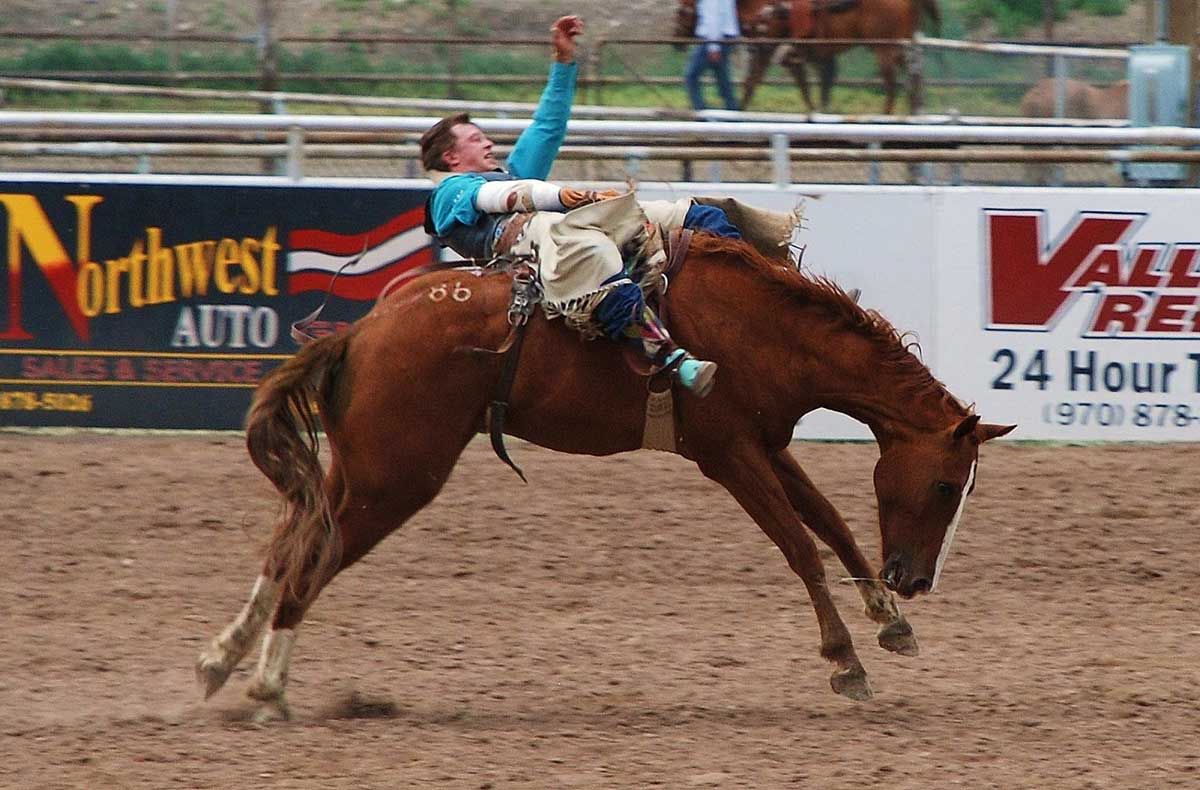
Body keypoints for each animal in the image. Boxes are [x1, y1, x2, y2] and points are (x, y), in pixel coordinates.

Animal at [196, 232, 1013, 721]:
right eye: (947, 486)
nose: (916, 580)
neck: (759, 328)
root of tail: (361, 331)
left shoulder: (770, 445)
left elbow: (833, 527)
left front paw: (891, 622)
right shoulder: (728, 454)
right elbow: (801, 547)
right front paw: (845, 660)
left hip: (359, 468)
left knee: (289, 541)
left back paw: (221, 660)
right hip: (392, 480)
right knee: (313, 557)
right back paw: (268, 686)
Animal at [675, 0, 942, 113]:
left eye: (681, 11)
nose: (676, 40)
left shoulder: (771, 48)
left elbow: (752, 84)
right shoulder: (798, 54)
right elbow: (813, 87)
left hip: (884, 48)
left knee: (893, 84)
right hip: (900, 47)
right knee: (914, 79)